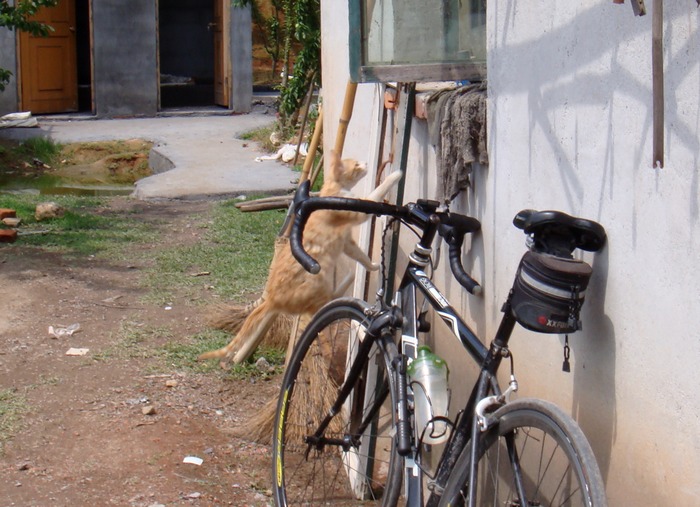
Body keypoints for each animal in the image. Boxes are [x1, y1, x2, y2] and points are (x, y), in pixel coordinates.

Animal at [198, 151, 404, 370]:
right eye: (356, 164)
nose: (365, 163)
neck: (334, 188)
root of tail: (271, 298)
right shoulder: (355, 214)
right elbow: (375, 194)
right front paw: (396, 175)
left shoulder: (347, 242)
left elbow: (361, 255)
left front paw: (372, 265)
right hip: (319, 279)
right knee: (322, 306)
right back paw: (349, 290)